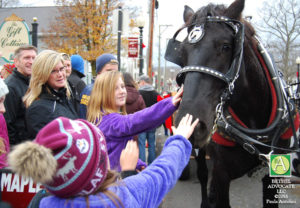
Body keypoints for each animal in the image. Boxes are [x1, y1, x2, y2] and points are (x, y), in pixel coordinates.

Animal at [165, 0, 298, 208]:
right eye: (182, 52)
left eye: (226, 46)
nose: (193, 124)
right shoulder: (220, 176)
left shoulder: (273, 172)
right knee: (203, 174)